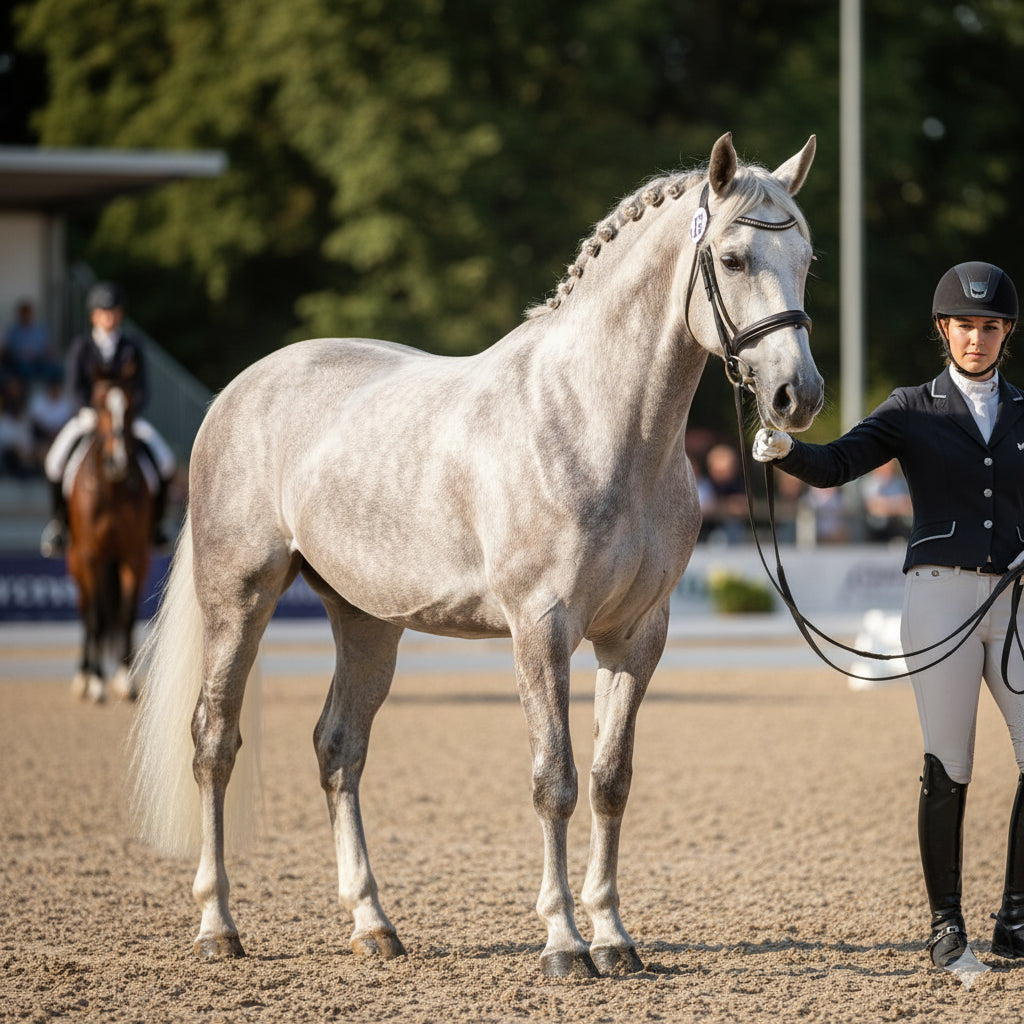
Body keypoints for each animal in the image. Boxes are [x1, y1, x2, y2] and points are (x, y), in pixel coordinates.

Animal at [67, 378, 156, 703]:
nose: (117, 461)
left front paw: (124, 680)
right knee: (87, 612)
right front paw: (96, 683)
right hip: (77, 563)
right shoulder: (91, 557)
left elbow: (127, 616)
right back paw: (83, 677)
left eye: (130, 408)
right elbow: (96, 617)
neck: (112, 488)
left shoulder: (135, 556)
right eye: (99, 405)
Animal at [129, 132, 824, 977]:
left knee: (339, 748)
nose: (798, 395)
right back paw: (218, 925)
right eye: (731, 257)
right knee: (213, 744)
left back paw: (373, 925)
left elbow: (610, 781)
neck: (598, 423)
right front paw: (564, 944)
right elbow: (554, 781)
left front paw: (614, 938)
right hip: (239, 600)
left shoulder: (636, 637)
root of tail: (234, 393)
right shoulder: (542, 629)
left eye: (807, 259)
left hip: (366, 620)